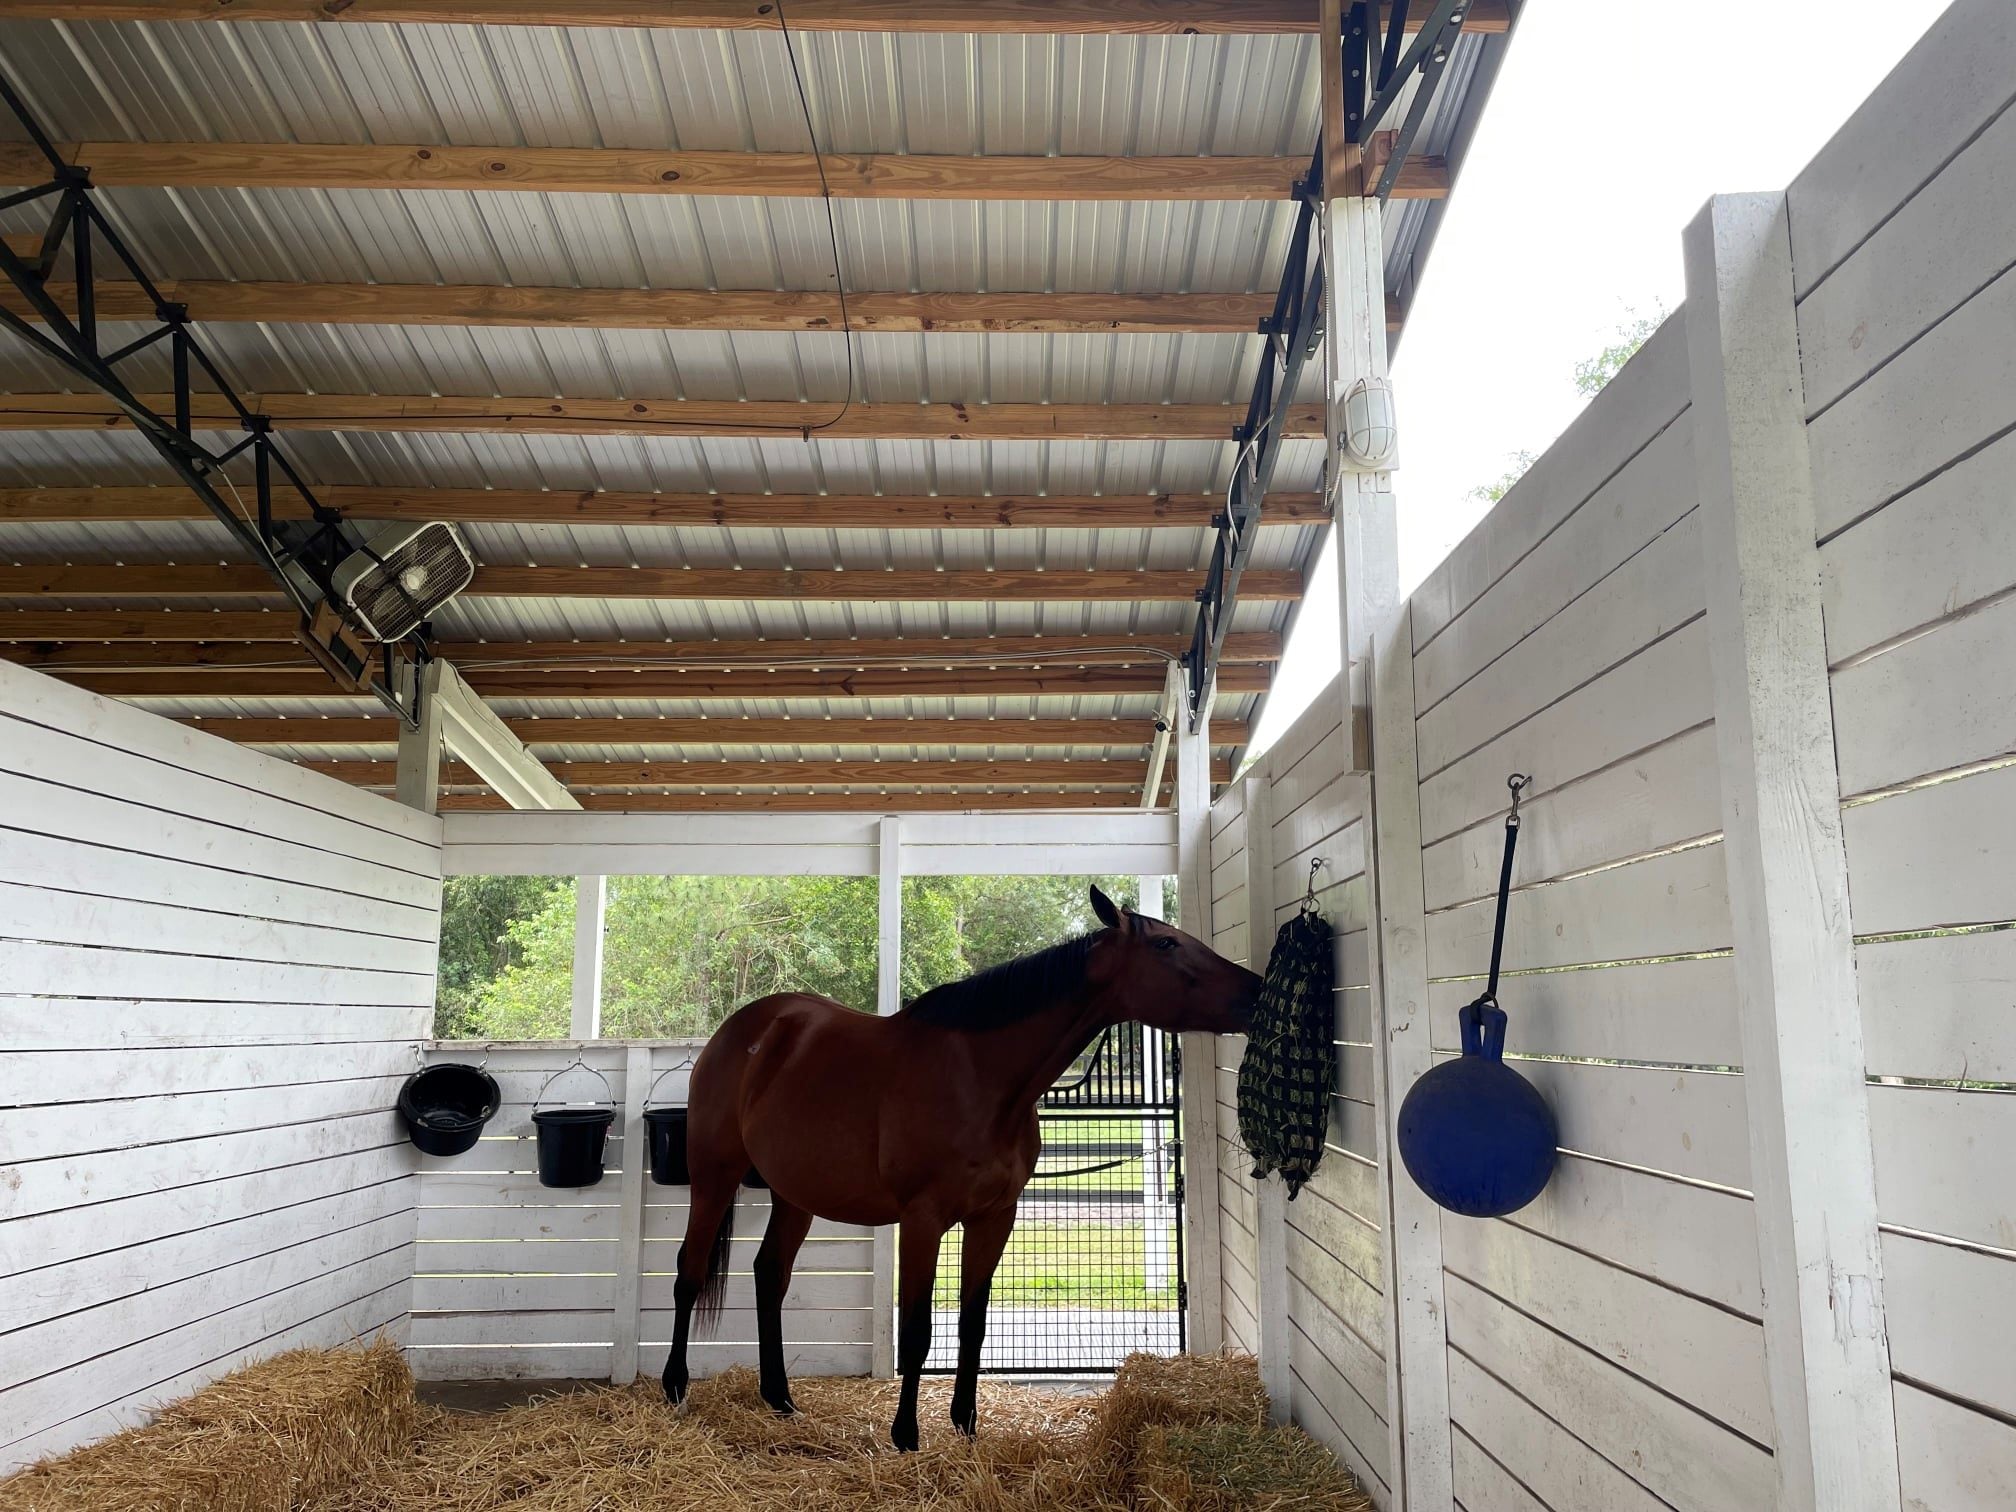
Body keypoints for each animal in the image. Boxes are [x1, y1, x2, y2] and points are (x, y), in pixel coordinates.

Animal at [660, 884, 1261, 1450]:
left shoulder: (995, 1216)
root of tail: (744, 1031)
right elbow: (917, 1331)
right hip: (714, 1176)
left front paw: (966, 1424)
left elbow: (972, 1324)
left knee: (770, 1275)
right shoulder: (922, 1220)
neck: (980, 1077)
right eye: (1165, 944)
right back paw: (675, 1386)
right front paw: (906, 1435)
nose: (1256, 991)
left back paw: (780, 1397)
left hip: (794, 1193)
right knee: (690, 1271)